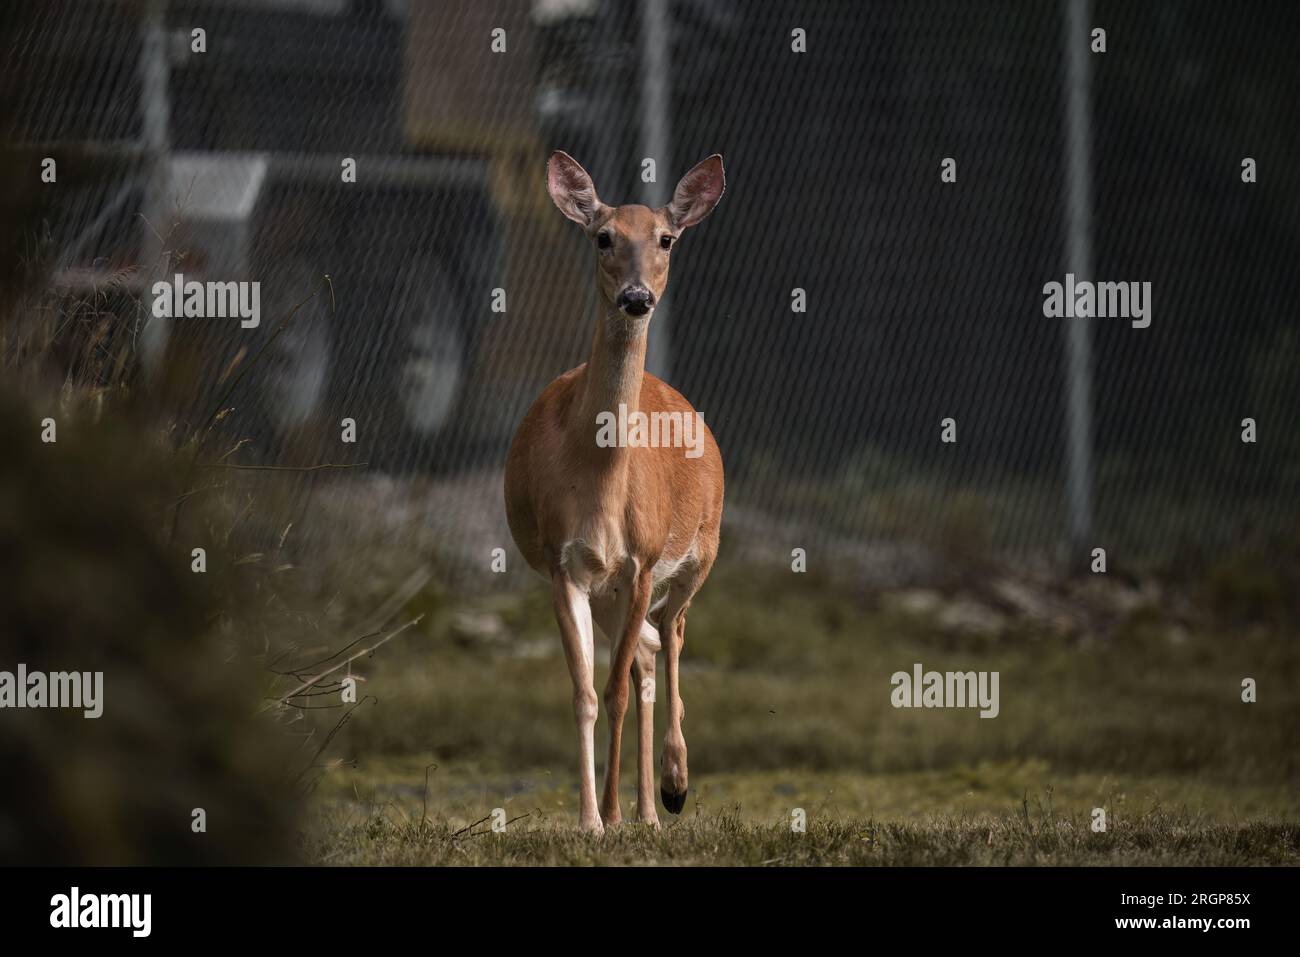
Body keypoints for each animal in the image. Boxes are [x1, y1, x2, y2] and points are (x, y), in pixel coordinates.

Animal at [504, 153, 728, 832]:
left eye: (666, 239)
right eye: (602, 237)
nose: (636, 297)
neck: (600, 484)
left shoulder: (643, 560)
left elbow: (616, 688)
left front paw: (617, 808)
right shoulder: (566, 565)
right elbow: (585, 693)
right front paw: (592, 819)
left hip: (700, 551)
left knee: (673, 635)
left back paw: (674, 786)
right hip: (611, 592)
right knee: (650, 651)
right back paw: (646, 810)